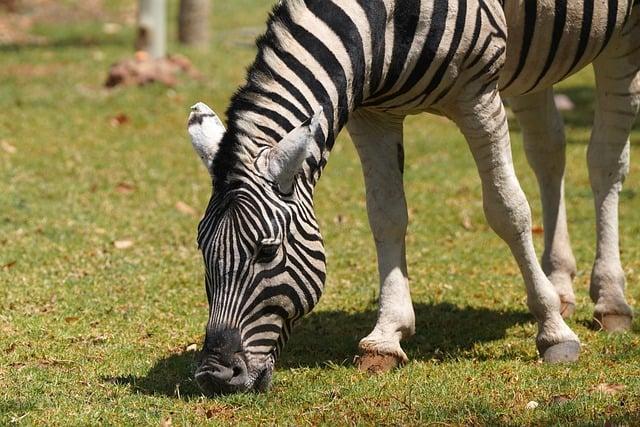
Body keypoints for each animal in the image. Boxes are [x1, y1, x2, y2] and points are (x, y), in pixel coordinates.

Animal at [184, 0, 636, 396]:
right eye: (202, 248)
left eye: (266, 251)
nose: (214, 376)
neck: (382, 23)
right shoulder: (371, 113)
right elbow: (386, 214)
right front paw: (387, 336)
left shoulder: (478, 95)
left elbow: (508, 210)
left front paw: (553, 332)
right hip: (535, 61)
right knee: (548, 150)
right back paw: (560, 284)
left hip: (622, 42)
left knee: (605, 162)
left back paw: (611, 301)